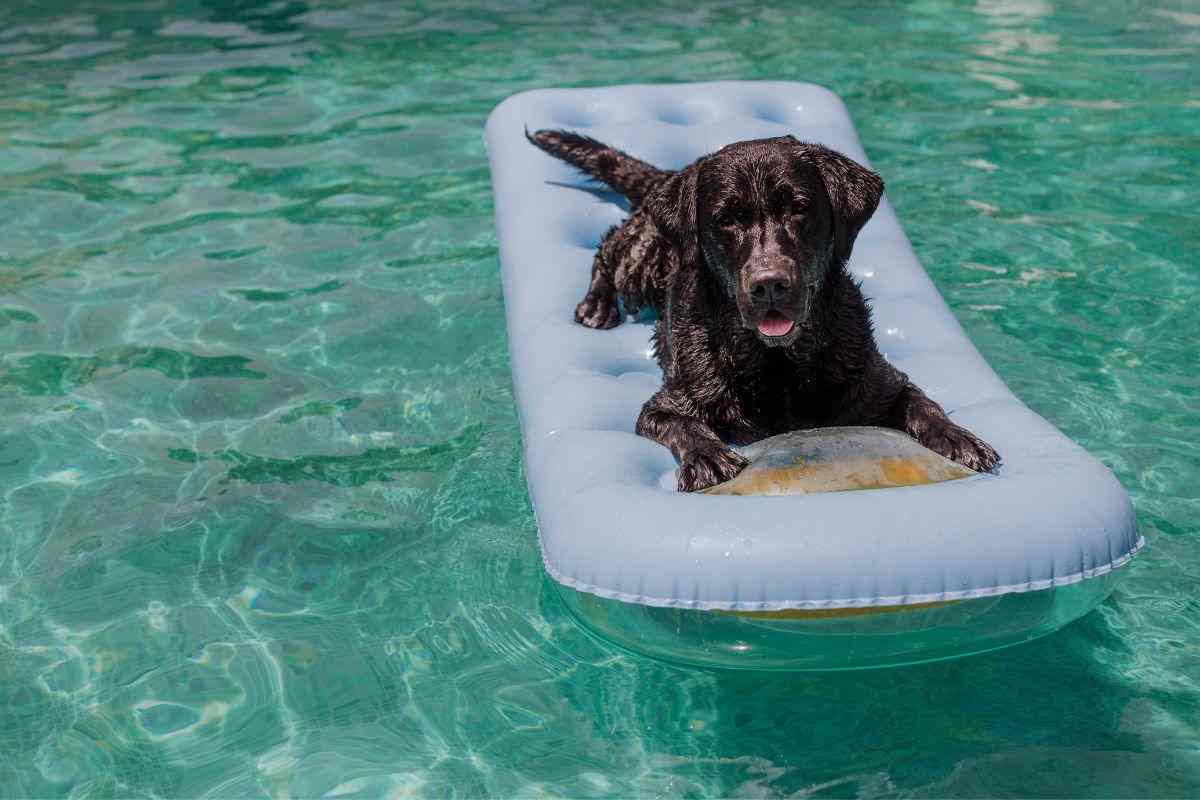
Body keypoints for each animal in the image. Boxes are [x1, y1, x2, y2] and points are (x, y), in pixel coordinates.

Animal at [530, 128, 998, 491]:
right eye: (726, 219)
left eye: (800, 208)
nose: (769, 283)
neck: (779, 365)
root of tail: (667, 176)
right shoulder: (663, 406)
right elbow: (685, 425)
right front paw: (707, 456)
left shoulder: (882, 380)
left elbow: (924, 405)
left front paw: (959, 438)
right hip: (642, 261)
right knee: (608, 248)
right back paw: (596, 303)